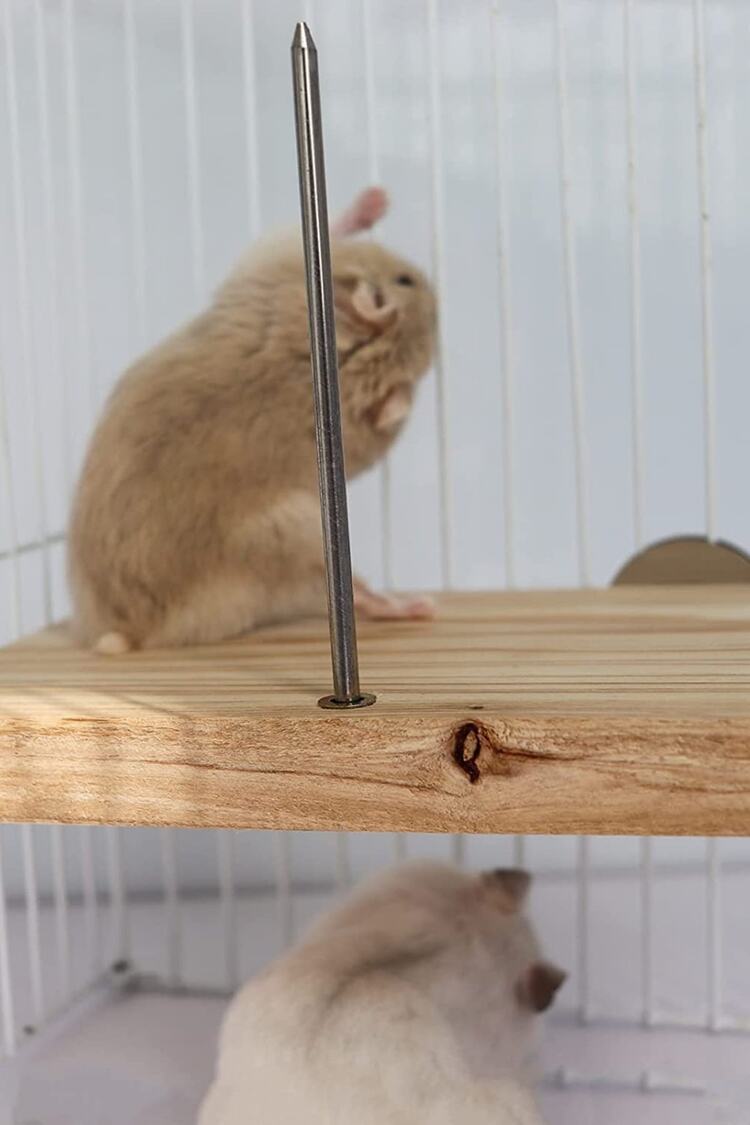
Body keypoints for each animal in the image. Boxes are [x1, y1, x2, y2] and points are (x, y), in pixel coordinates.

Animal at [68, 188, 436, 653]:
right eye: (406, 281)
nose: (434, 292)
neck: (348, 355)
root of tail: (132, 633)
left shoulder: (266, 257)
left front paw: (377, 198)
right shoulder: (271, 258)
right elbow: (330, 226)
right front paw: (378, 199)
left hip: (300, 536)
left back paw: (414, 606)